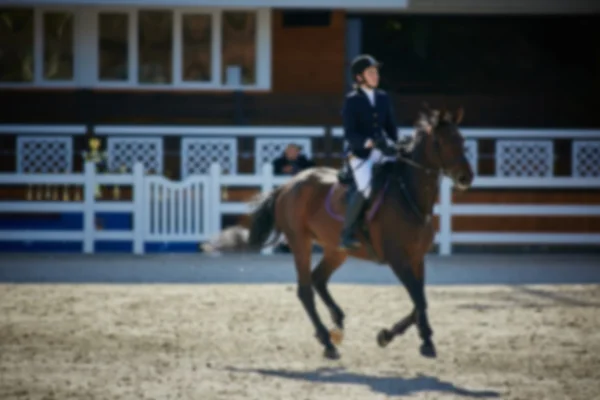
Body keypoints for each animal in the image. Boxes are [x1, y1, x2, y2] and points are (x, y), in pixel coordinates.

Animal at [205, 106, 474, 360]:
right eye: (439, 142)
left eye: (461, 139)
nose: (466, 177)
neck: (409, 197)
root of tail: (287, 185)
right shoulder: (398, 259)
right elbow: (419, 299)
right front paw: (417, 339)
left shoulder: (417, 259)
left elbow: (420, 300)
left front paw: (398, 336)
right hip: (300, 242)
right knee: (305, 289)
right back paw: (327, 342)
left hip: (337, 249)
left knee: (318, 279)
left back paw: (337, 320)